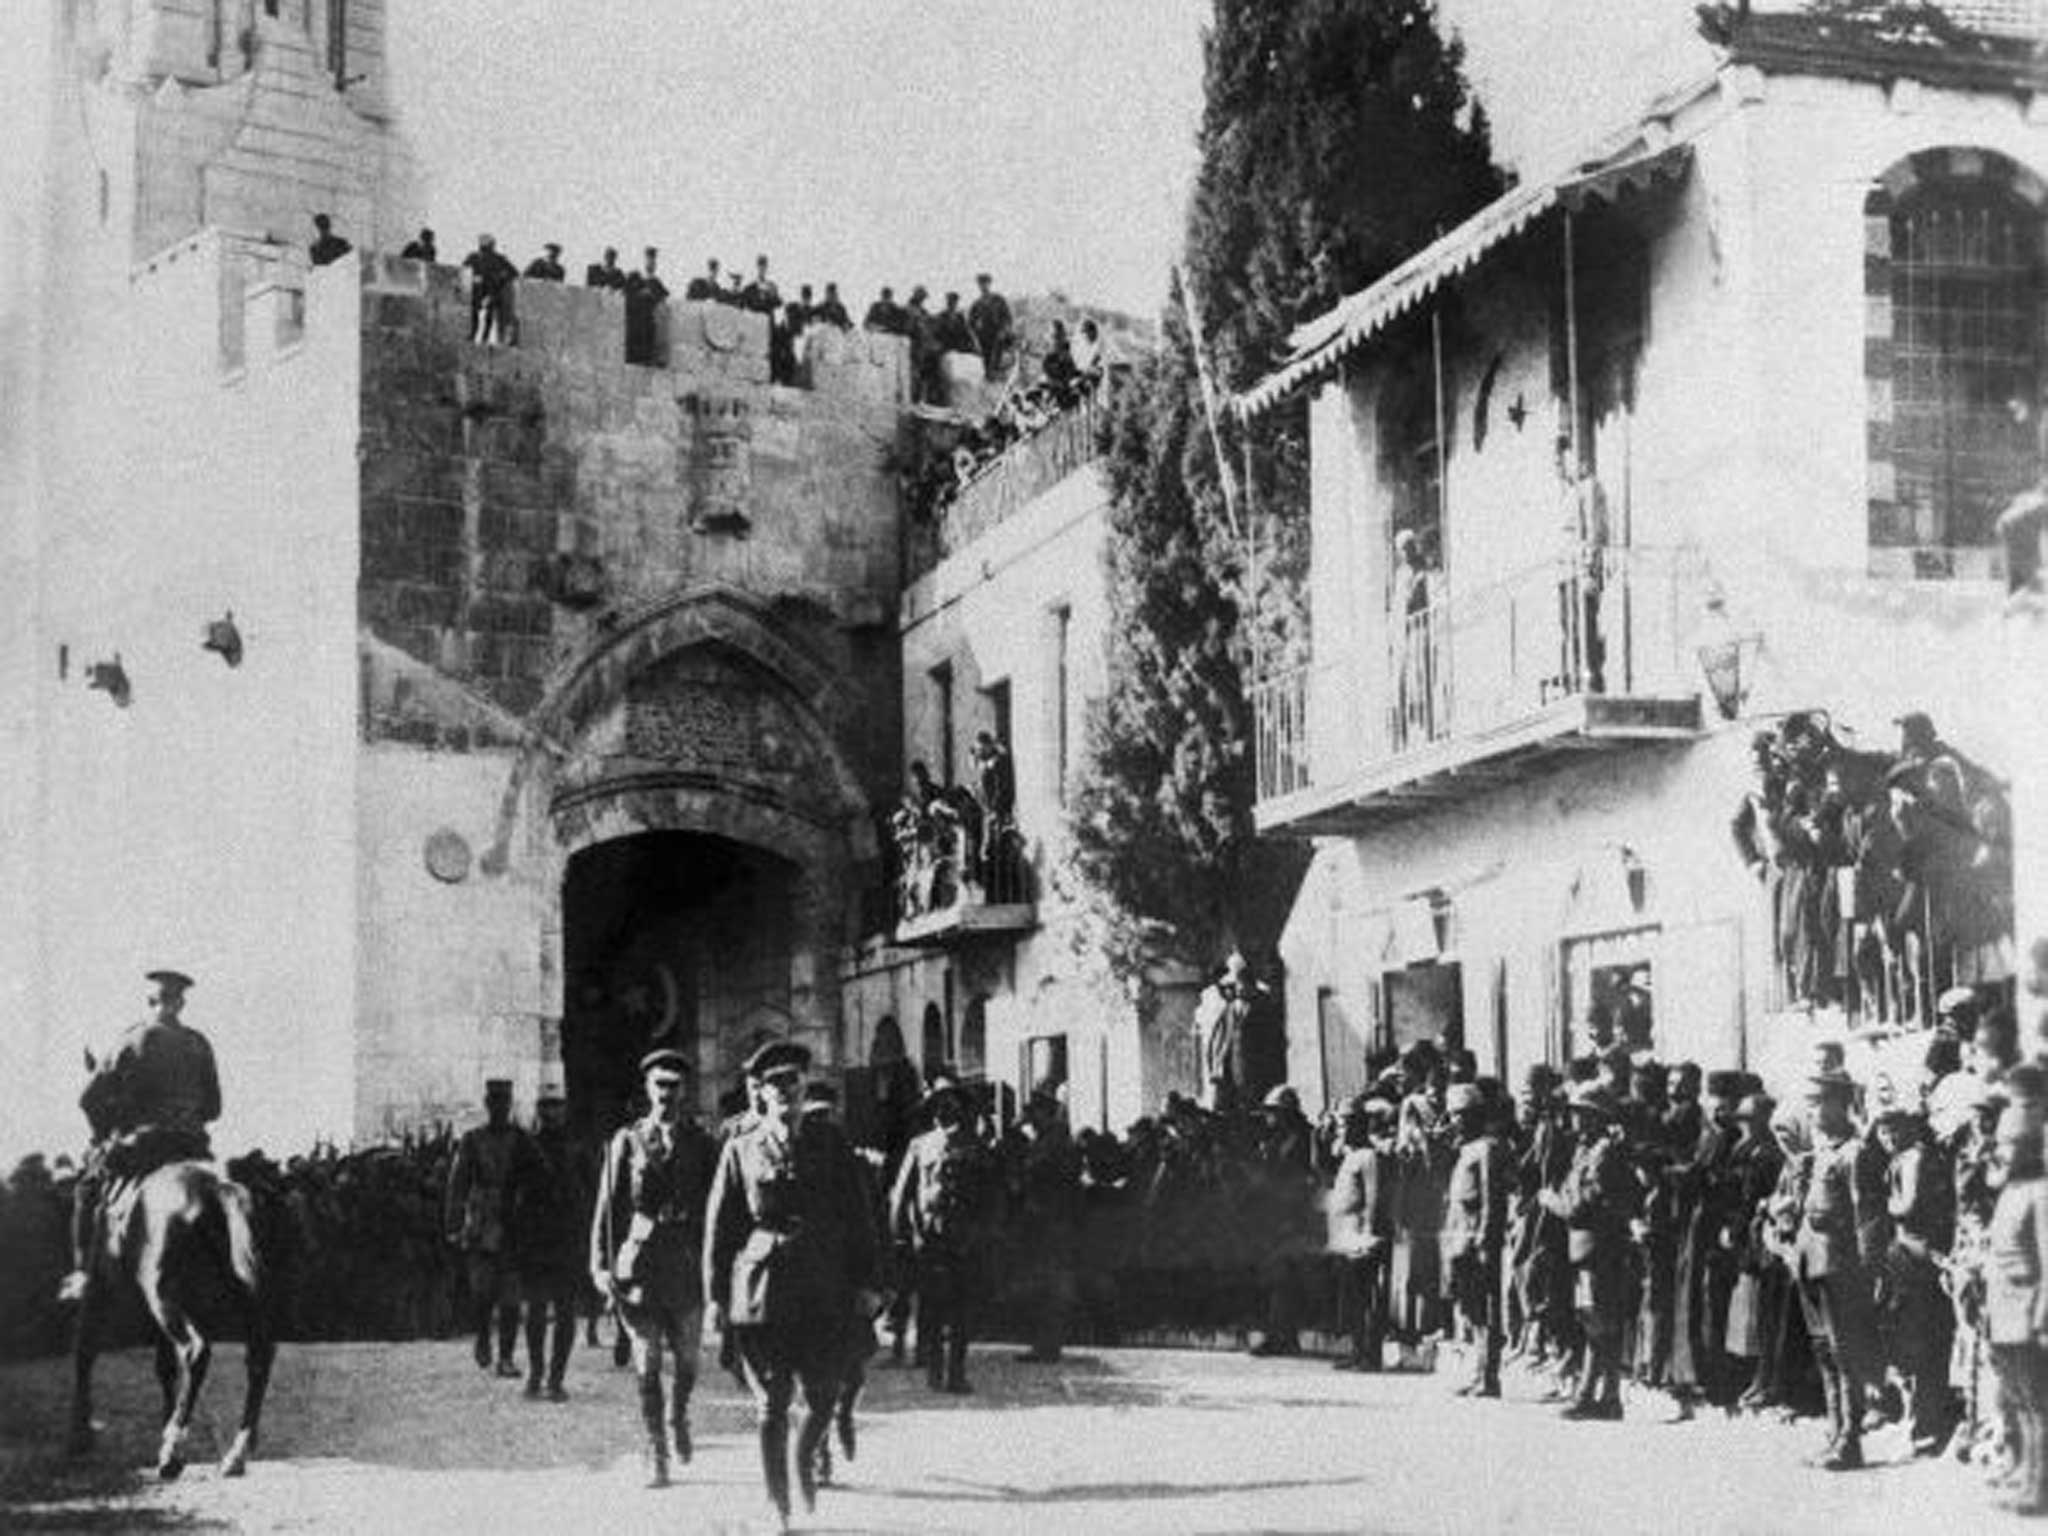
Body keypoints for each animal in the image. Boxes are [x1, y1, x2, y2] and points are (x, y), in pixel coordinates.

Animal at [67, 1163, 276, 1482]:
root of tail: (216, 1190)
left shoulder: (100, 1292)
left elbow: (85, 1349)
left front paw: (79, 1435)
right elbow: (165, 1369)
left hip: (163, 1299)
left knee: (196, 1352)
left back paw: (171, 1450)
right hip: (247, 1303)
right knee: (258, 1361)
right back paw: (234, 1455)